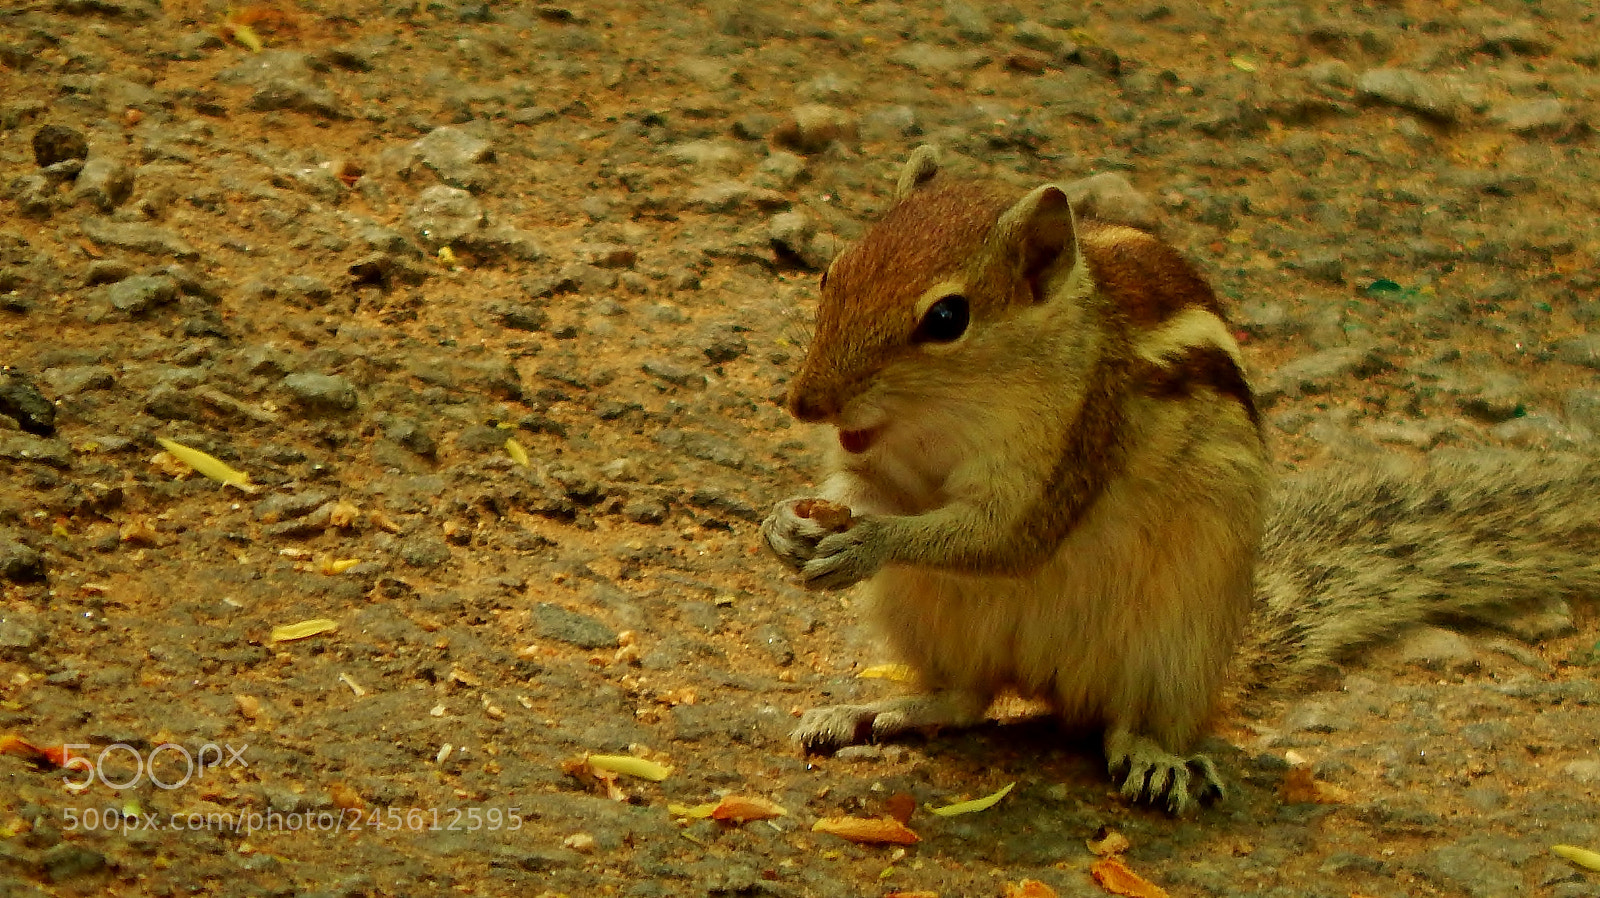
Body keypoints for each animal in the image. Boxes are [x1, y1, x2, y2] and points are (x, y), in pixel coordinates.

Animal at [761, 145, 1600, 814]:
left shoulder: (1072, 451)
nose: (805, 402)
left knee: (1125, 720)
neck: (944, 418)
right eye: (832, 273)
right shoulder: (879, 461)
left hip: (1168, 642)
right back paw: (874, 712)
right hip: (926, 615)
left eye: (945, 319)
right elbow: (865, 490)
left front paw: (866, 542)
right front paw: (786, 523)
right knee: (965, 697)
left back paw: (1153, 757)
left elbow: (1002, 537)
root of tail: (1049, 683)